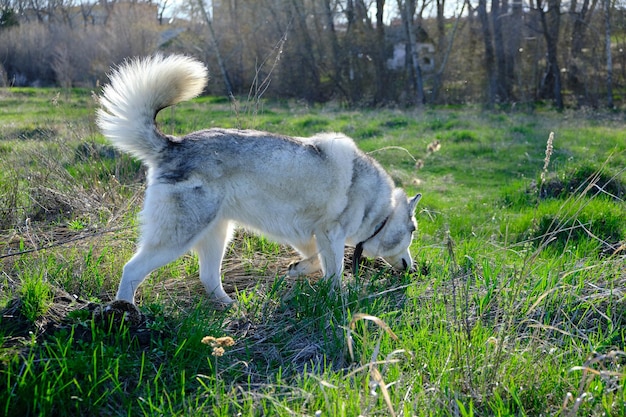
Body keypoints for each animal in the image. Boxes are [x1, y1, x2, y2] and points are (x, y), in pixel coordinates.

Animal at [96, 53, 420, 304]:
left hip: (218, 234)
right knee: (132, 269)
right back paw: (125, 312)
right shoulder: (330, 235)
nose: (413, 268)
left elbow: (314, 259)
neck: (379, 210)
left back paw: (229, 305)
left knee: (208, 276)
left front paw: (297, 269)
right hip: (177, 238)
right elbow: (334, 272)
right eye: (413, 231)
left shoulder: (308, 235)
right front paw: (336, 297)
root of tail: (174, 143)